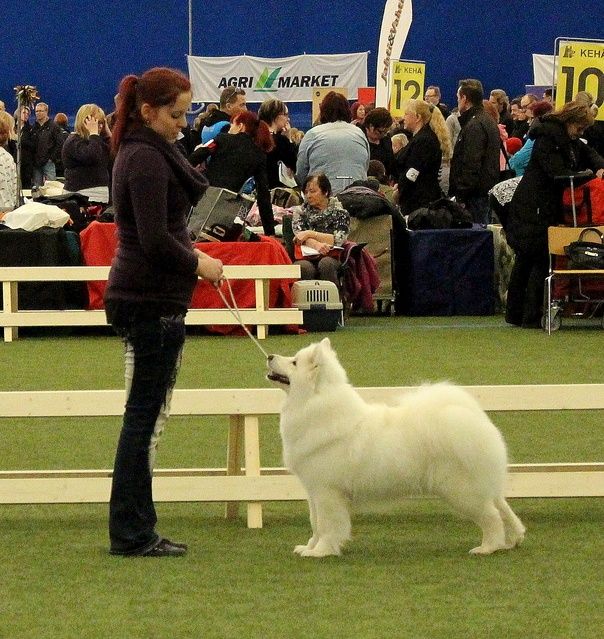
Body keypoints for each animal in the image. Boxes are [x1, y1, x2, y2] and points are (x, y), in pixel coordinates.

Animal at [266, 338, 528, 556]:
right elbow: (316, 523)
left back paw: (488, 547)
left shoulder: (327, 492)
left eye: (294, 362)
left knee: (492, 516)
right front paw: (309, 547)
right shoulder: (313, 491)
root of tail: (471, 419)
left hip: (461, 491)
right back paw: (511, 540)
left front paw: (321, 551)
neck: (313, 405)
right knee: (502, 507)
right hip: (479, 485)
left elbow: (328, 525)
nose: (269, 355)